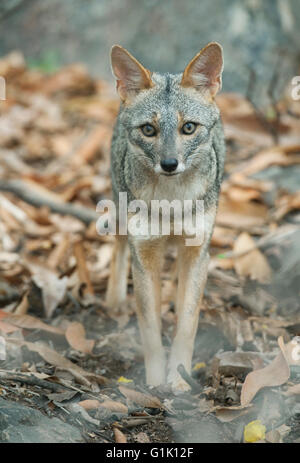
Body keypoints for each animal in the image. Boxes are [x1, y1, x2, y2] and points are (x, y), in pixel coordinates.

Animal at [105, 42, 225, 392]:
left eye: (188, 128)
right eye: (149, 129)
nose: (169, 163)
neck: (171, 204)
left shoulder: (197, 252)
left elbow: (187, 323)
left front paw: (179, 379)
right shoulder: (144, 253)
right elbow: (150, 330)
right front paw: (156, 383)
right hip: (121, 216)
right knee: (118, 248)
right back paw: (114, 300)